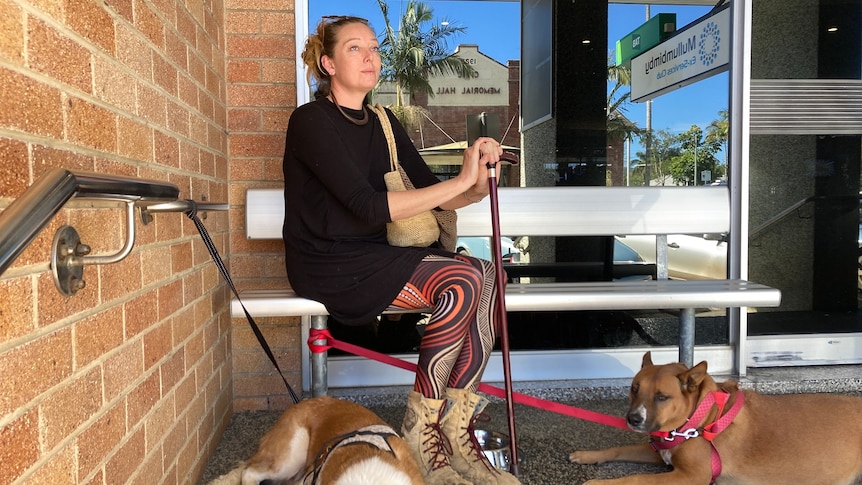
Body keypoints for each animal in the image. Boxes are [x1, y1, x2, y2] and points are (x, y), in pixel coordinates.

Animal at [572, 352, 862, 484]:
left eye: (662, 397)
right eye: (634, 389)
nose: (633, 419)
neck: (698, 420)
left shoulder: (690, 476)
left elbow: (635, 479)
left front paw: (597, 483)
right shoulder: (660, 452)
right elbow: (619, 448)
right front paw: (586, 455)